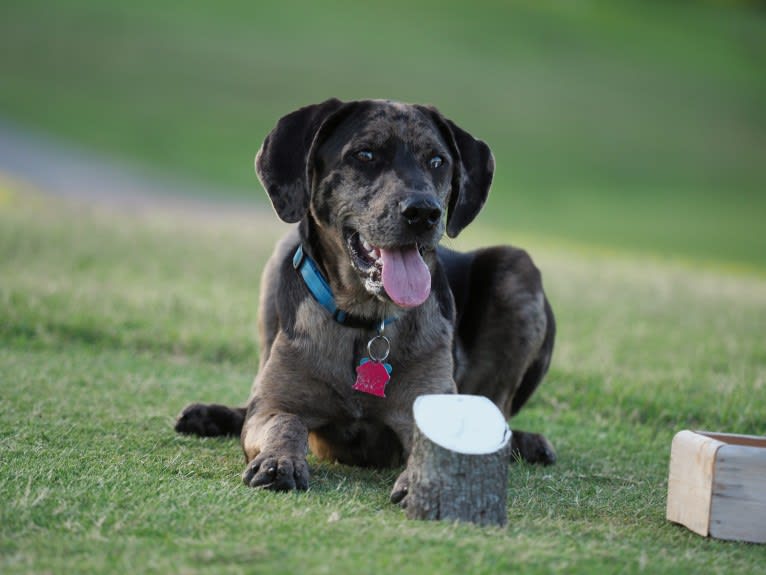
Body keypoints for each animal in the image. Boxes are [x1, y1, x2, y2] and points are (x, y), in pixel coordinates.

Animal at [176, 99, 556, 504]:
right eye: (365, 154)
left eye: (438, 161)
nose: (423, 212)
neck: (367, 321)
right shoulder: (276, 405)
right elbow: (284, 422)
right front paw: (279, 460)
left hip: (518, 269)